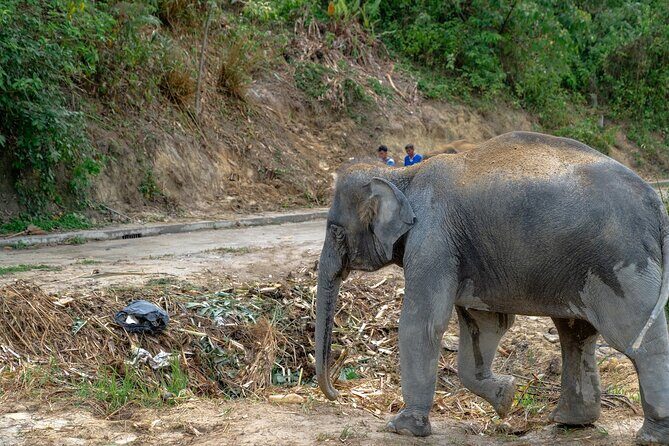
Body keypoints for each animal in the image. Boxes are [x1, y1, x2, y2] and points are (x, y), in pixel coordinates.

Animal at [314, 131, 669, 444]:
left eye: (335, 231)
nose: (335, 395)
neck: (401, 175)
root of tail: (656, 203)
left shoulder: (434, 238)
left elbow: (423, 323)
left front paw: (401, 428)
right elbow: (484, 325)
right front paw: (506, 396)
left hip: (620, 261)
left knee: (636, 339)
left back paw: (651, 435)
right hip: (584, 267)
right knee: (576, 335)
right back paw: (570, 423)